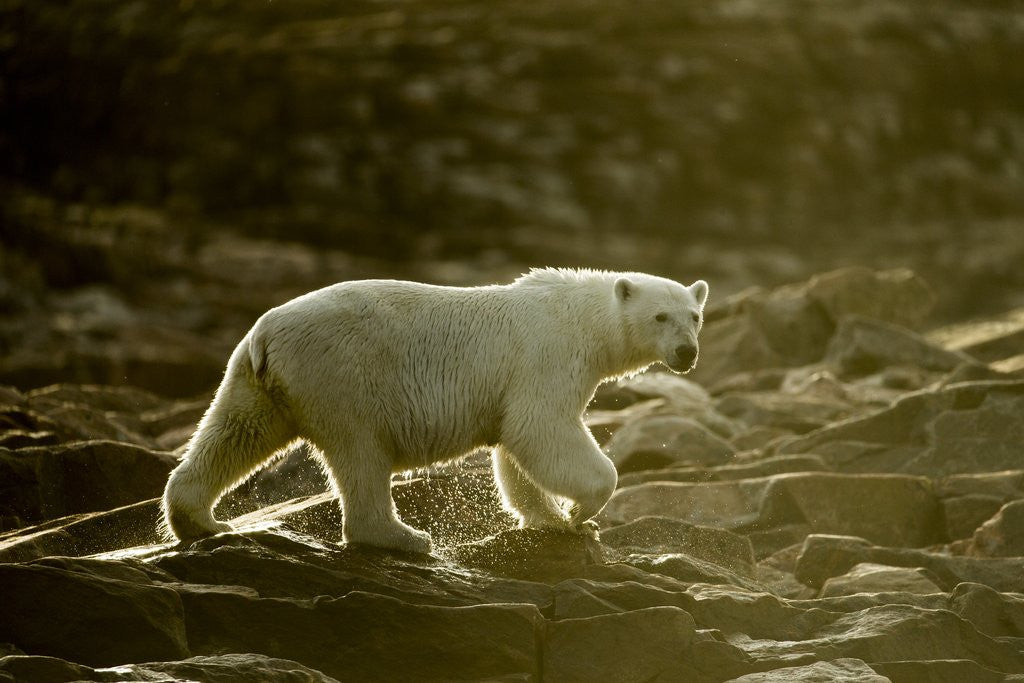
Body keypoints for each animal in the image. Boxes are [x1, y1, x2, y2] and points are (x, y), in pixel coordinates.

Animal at [162, 267, 708, 553]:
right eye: (661, 316)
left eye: (695, 316)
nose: (687, 353)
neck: (582, 317)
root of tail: (265, 332)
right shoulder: (547, 357)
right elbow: (541, 427)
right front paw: (581, 512)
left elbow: (515, 448)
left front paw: (551, 519)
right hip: (343, 374)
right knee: (360, 452)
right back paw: (403, 535)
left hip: (258, 381)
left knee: (235, 432)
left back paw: (202, 521)